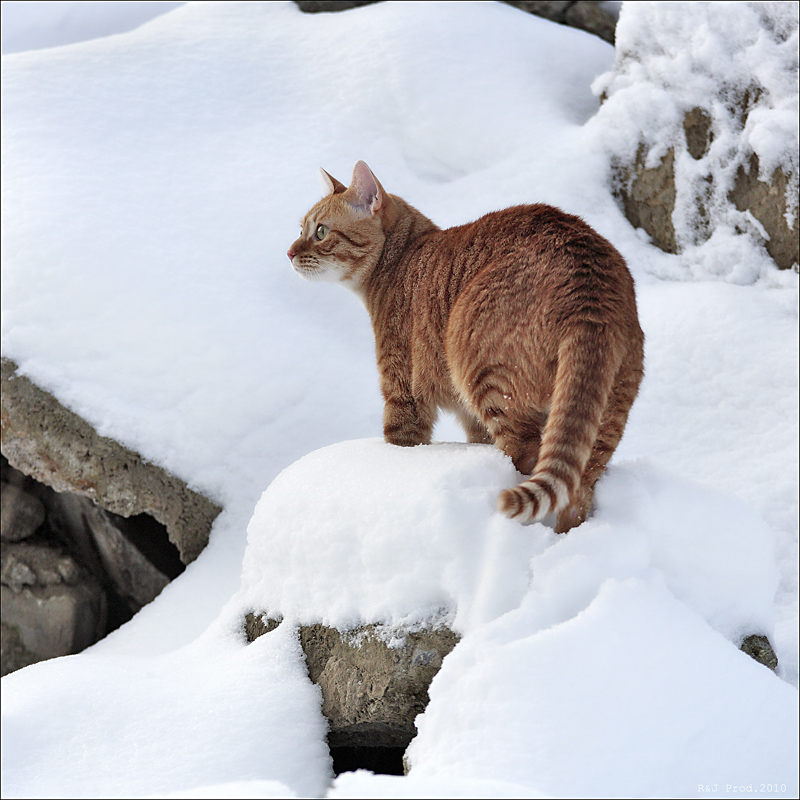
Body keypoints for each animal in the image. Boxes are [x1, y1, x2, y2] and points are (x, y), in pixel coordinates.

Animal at [288, 161, 644, 532]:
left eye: (320, 232)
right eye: (302, 229)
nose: (290, 252)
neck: (403, 258)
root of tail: (588, 279)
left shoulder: (403, 390)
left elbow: (399, 440)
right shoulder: (470, 419)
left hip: (486, 376)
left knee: (526, 453)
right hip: (604, 413)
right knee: (578, 489)